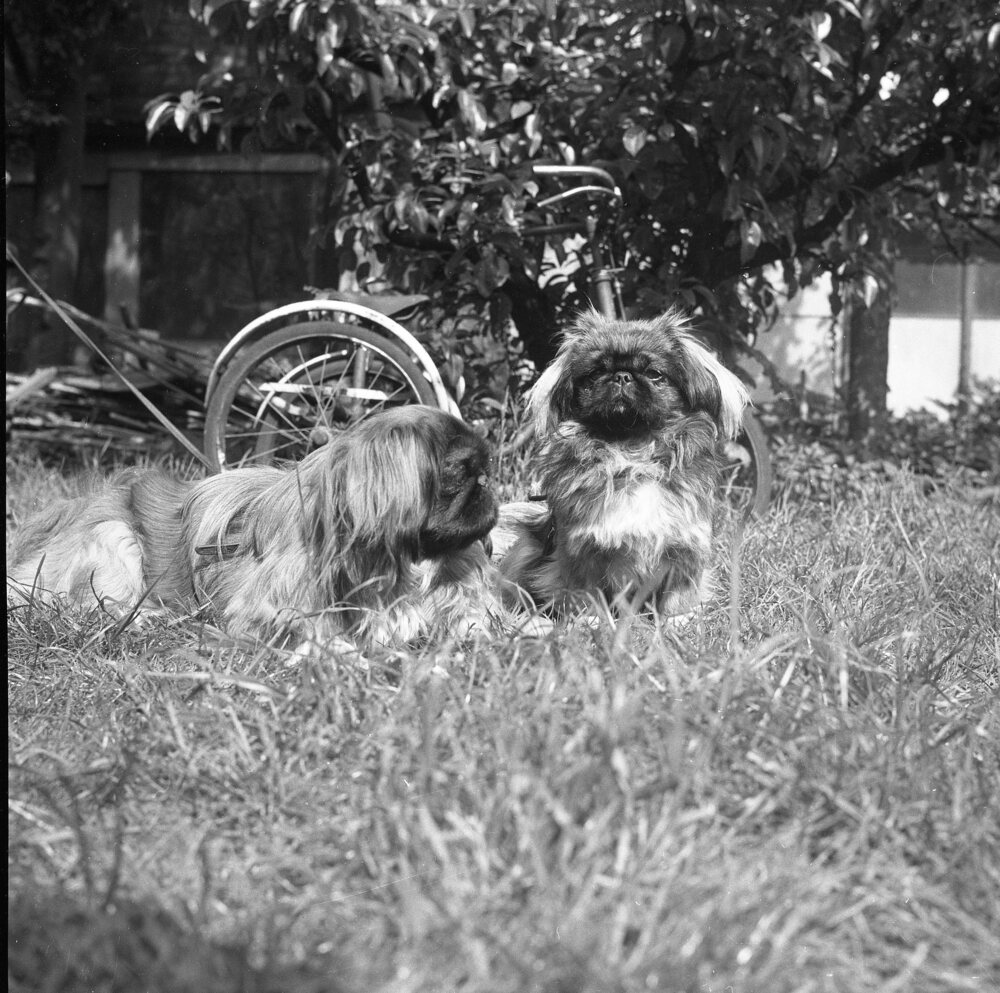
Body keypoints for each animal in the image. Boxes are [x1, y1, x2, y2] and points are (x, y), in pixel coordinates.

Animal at [496, 310, 748, 616]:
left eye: (654, 374)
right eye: (595, 373)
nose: (621, 376)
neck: (631, 453)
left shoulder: (685, 549)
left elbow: (677, 598)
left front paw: (678, 621)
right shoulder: (580, 551)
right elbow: (585, 593)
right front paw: (590, 621)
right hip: (527, 547)